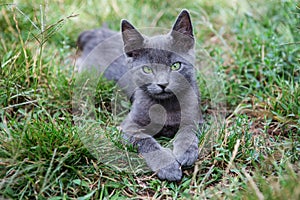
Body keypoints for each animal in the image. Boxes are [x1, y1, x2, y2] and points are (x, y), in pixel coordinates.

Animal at [76, 9, 203, 181]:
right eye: (147, 69)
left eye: (176, 66)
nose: (163, 84)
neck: (166, 106)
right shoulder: (129, 126)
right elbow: (146, 141)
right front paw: (168, 166)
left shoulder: (196, 115)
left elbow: (188, 130)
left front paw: (185, 151)